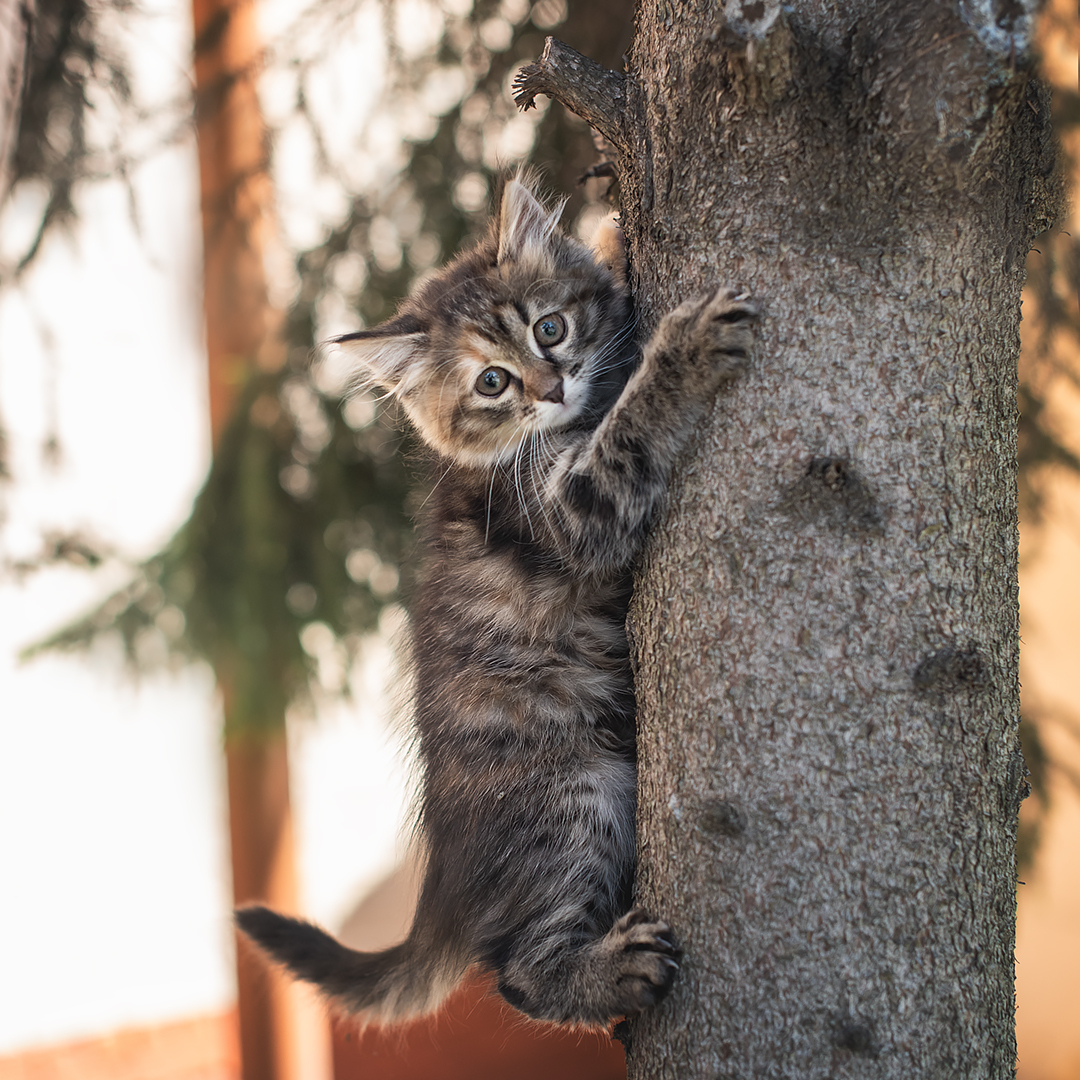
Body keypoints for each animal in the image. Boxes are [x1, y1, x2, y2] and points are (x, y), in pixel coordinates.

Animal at [236, 172, 760, 1023]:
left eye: (551, 328)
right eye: (492, 382)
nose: (552, 388)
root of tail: (443, 885)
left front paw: (610, 237)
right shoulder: (571, 512)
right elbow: (629, 433)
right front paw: (682, 349)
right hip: (573, 796)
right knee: (516, 971)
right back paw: (609, 972)